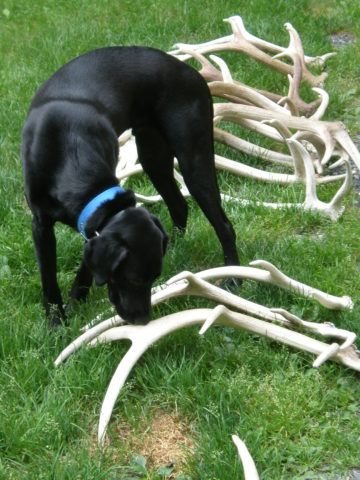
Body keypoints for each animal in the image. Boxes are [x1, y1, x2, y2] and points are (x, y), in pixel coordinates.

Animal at [21, 47, 239, 326]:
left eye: (154, 278)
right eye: (134, 279)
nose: (144, 320)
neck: (70, 151)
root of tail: (191, 72)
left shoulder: (89, 225)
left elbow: (85, 271)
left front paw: (74, 304)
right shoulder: (41, 226)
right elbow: (49, 282)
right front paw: (58, 322)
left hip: (193, 158)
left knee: (223, 224)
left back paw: (233, 278)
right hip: (152, 156)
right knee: (179, 205)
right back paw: (176, 246)